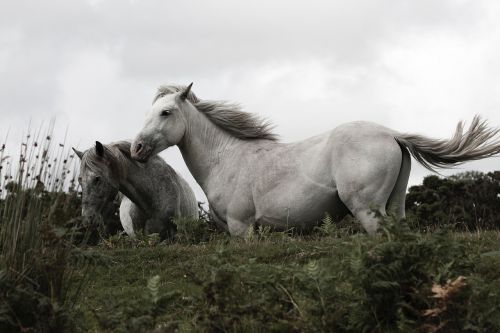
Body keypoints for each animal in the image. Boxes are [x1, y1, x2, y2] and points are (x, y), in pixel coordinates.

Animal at [130, 84, 500, 235]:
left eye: (165, 112)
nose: (136, 148)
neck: (227, 158)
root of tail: (391, 133)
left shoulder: (241, 227)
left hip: (367, 210)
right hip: (395, 207)